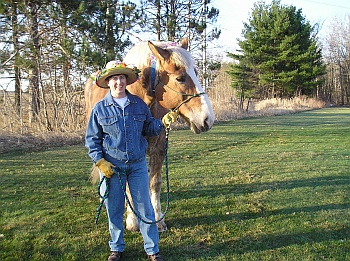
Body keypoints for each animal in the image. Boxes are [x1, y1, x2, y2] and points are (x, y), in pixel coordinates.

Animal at [85, 37, 216, 231]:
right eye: (180, 78)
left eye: (196, 73)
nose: (208, 119)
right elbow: (129, 186)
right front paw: (132, 221)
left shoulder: (158, 148)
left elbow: (154, 183)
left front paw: (158, 219)